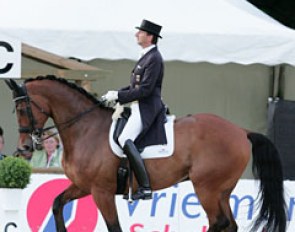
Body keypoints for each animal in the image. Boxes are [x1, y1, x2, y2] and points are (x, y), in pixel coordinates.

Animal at [4, 75, 288, 231]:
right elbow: (56, 204)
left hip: (206, 187)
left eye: (22, 109)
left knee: (219, 222)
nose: (24, 148)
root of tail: (241, 130)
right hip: (222, 190)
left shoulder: (102, 192)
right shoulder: (84, 186)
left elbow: (114, 227)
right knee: (229, 224)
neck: (85, 128)